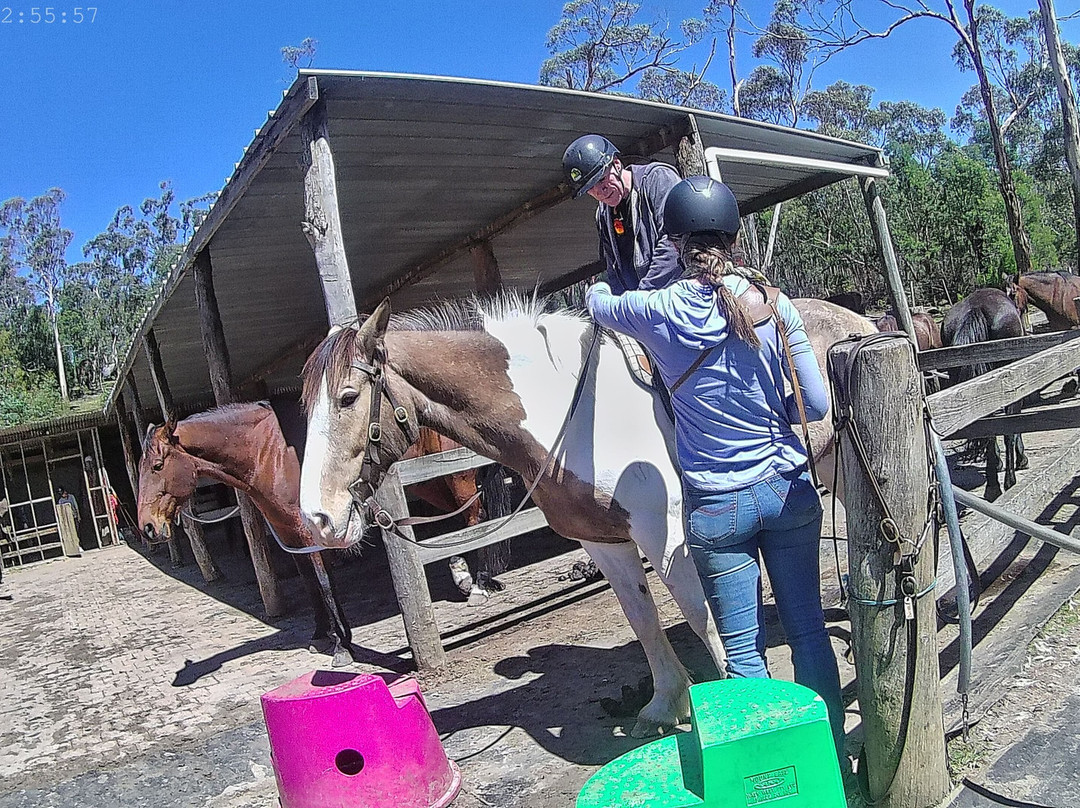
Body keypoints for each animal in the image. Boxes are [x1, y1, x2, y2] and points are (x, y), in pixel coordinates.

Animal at [137, 403, 357, 668]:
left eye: (158, 466)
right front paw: (320, 634)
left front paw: (341, 645)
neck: (271, 454)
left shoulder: (310, 533)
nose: (147, 527)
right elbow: (309, 581)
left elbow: (324, 582)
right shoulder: (290, 534)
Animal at [297, 292, 875, 738]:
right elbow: (643, 619)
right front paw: (665, 706)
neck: (572, 417)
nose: (317, 520)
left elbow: (702, 617)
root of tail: (857, 320)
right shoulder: (604, 540)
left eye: (347, 396)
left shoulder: (666, 535)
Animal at [941, 288, 1029, 502]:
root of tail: (976, 308)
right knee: (1007, 431)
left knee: (987, 430)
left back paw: (992, 486)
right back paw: (1009, 482)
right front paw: (1021, 459)